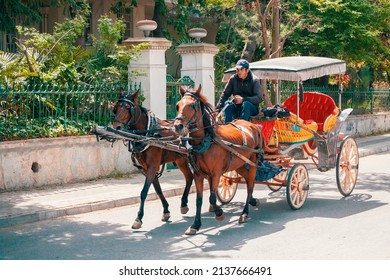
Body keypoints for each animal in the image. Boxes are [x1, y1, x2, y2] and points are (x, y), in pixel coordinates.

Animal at [111, 89, 193, 230]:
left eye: (127, 108)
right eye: (116, 107)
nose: (116, 127)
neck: (147, 134)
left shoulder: (153, 166)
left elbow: (144, 192)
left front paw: (138, 218)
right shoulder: (147, 167)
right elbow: (158, 189)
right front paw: (166, 211)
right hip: (181, 160)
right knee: (189, 177)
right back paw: (184, 204)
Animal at [174, 85, 264, 234]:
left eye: (192, 105)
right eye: (177, 105)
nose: (177, 126)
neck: (205, 142)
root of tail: (253, 126)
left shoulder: (215, 174)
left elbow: (211, 197)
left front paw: (219, 213)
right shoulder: (198, 174)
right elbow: (199, 200)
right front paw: (195, 224)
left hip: (252, 163)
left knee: (250, 185)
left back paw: (244, 213)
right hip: (239, 164)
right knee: (246, 181)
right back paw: (252, 201)